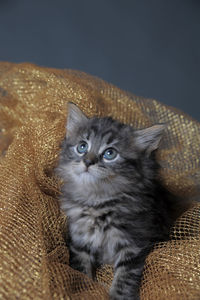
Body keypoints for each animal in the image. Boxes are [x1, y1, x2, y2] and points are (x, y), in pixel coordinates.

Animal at [55, 102, 186, 298]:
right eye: (82, 147)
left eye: (110, 153)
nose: (87, 161)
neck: (98, 202)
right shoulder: (80, 240)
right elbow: (80, 269)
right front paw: (86, 289)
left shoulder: (133, 246)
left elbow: (124, 280)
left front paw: (117, 296)